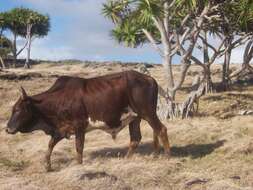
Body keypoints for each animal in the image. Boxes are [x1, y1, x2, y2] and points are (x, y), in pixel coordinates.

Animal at [5, 70, 171, 171]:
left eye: (18, 109)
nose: (7, 129)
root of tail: (149, 78)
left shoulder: (79, 126)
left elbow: (79, 148)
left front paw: (79, 166)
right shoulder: (61, 129)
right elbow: (50, 145)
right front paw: (48, 166)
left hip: (148, 113)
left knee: (161, 129)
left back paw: (166, 156)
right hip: (135, 118)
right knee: (136, 138)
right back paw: (127, 160)